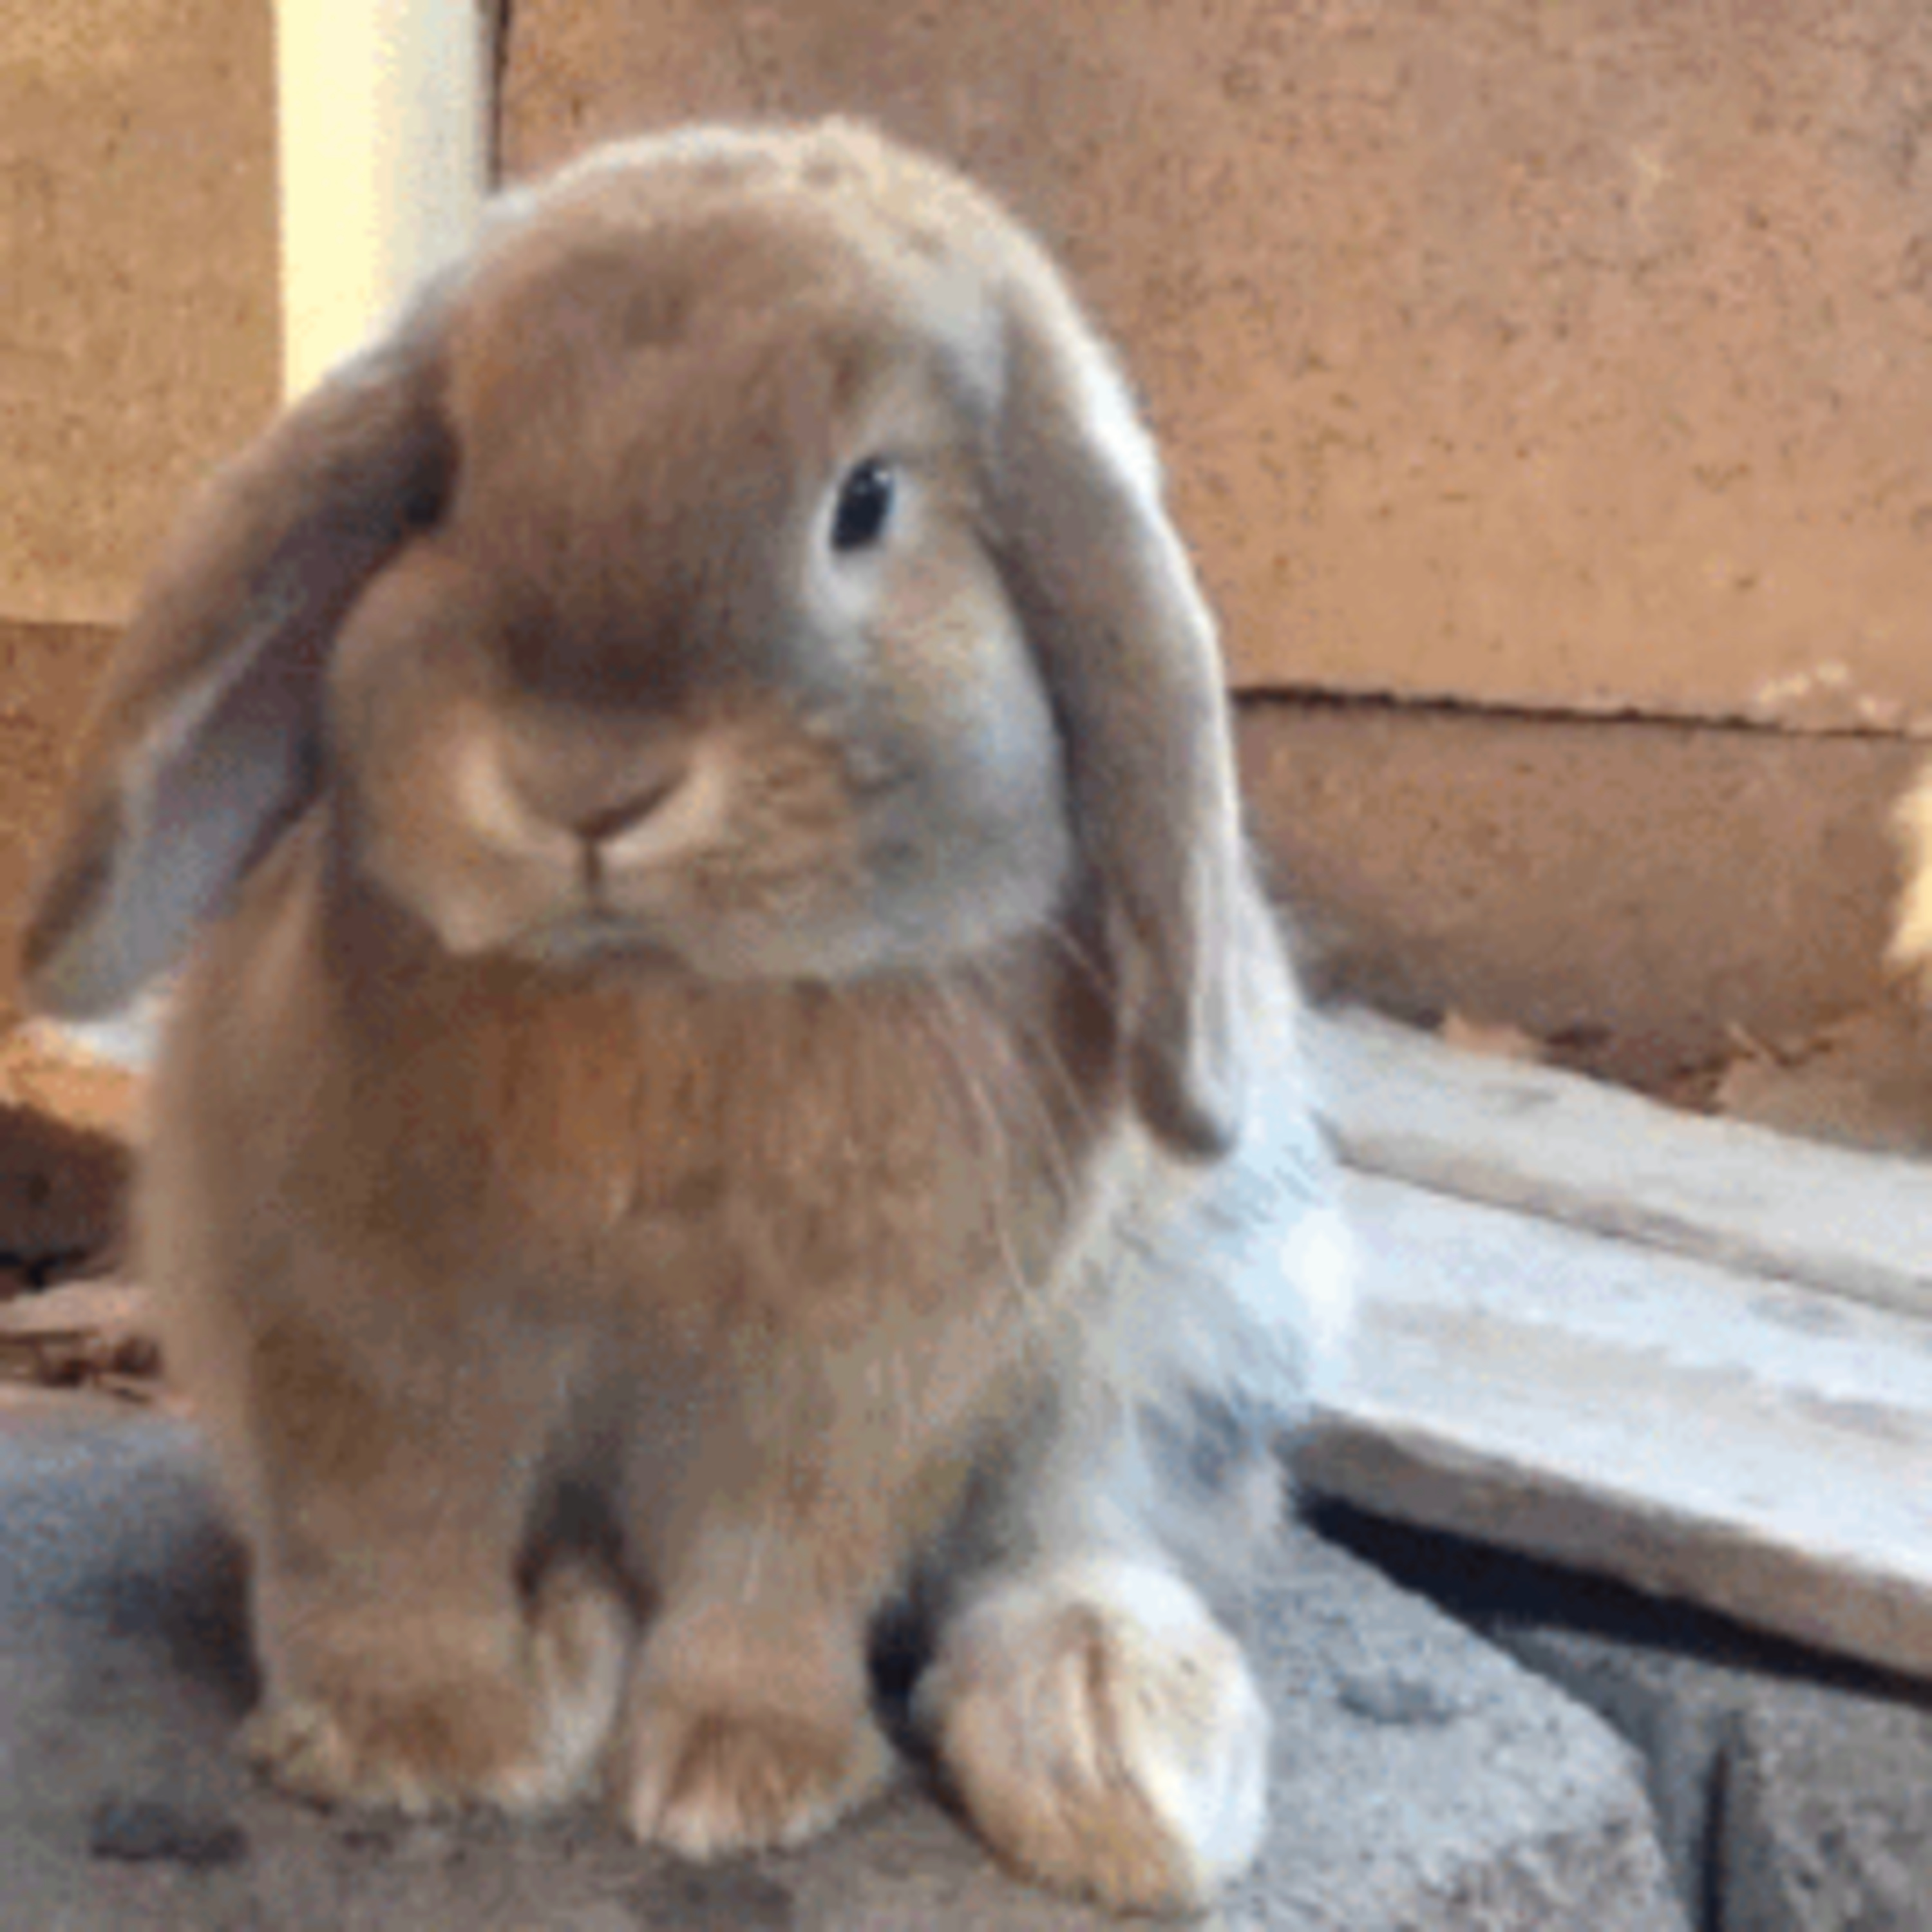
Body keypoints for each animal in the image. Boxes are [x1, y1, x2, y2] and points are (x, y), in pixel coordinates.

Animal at [20, 119, 1353, 1916]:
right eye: (444, 485)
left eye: (868, 502)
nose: (586, 782)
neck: (660, 1002)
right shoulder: (361, 1330)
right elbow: (392, 1524)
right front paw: (415, 1741)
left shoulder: (848, 1388)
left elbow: (773, 1568)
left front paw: (744, 1780)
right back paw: (575, 1646)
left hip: (1203, 1307)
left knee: (1094, 1523)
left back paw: (1111, 1748)